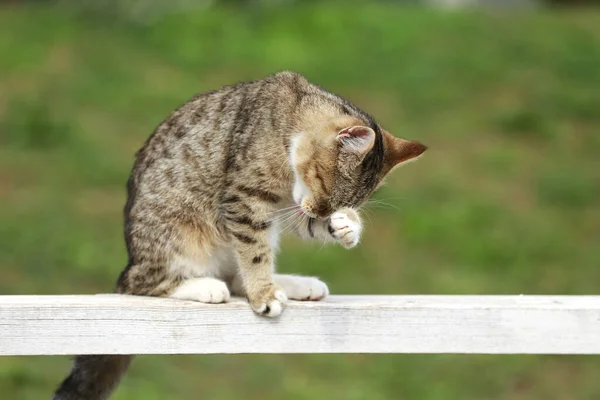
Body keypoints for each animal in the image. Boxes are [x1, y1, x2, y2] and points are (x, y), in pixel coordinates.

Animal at [51, 72, 426, 400]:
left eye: (345, 201)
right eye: (324, 184)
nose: (322, 212)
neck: (289, 122)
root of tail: (132, 259)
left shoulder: (286, 207)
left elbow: (295, 230)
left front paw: (346, 226)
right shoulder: (244, 199)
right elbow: (254, 252)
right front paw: (264, 294)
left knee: (235, 277)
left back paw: (294, 284)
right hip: (173, 234)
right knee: (143, 283)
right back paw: (206, 286)